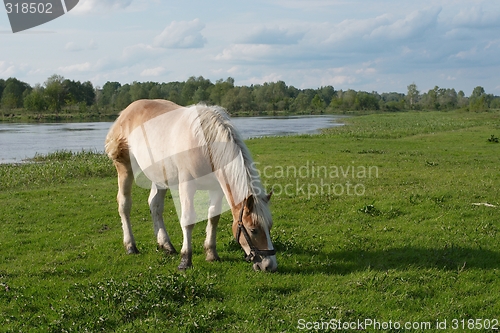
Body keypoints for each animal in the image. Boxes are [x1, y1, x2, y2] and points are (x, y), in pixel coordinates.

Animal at [104, 98, 278, 270]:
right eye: (253, 230)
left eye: (269, 227)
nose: (270, 265)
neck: (205, 144)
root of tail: (125, 113)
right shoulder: (187, 186)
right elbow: (188, 219)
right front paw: (185, 260)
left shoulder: (216, 189)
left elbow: (213, 217)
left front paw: (211, 253)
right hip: (124, 167)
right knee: (124, 205)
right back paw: (130, 246)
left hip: (160, 177)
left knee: (155, 206)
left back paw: (166, 245)